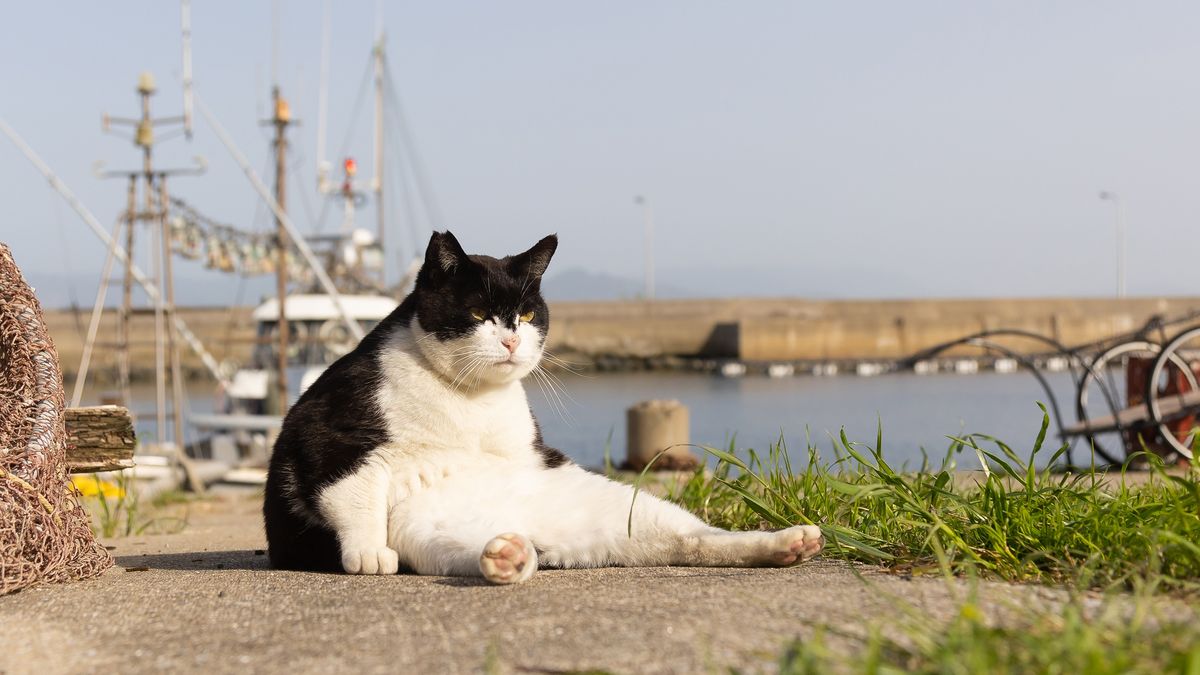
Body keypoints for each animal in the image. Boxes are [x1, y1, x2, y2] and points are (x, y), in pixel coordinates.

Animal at [262, 228, 825, 581]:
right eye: (479, 313)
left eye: (529, 314)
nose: (512, 340)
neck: (468, 398)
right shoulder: (329, 434)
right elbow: (354, 496)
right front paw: (365, 553)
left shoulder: (529, 452)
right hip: (423, 531)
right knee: (480, 553)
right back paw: (508, 557)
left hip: (619, 507)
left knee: (693, 538)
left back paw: (787, 544)